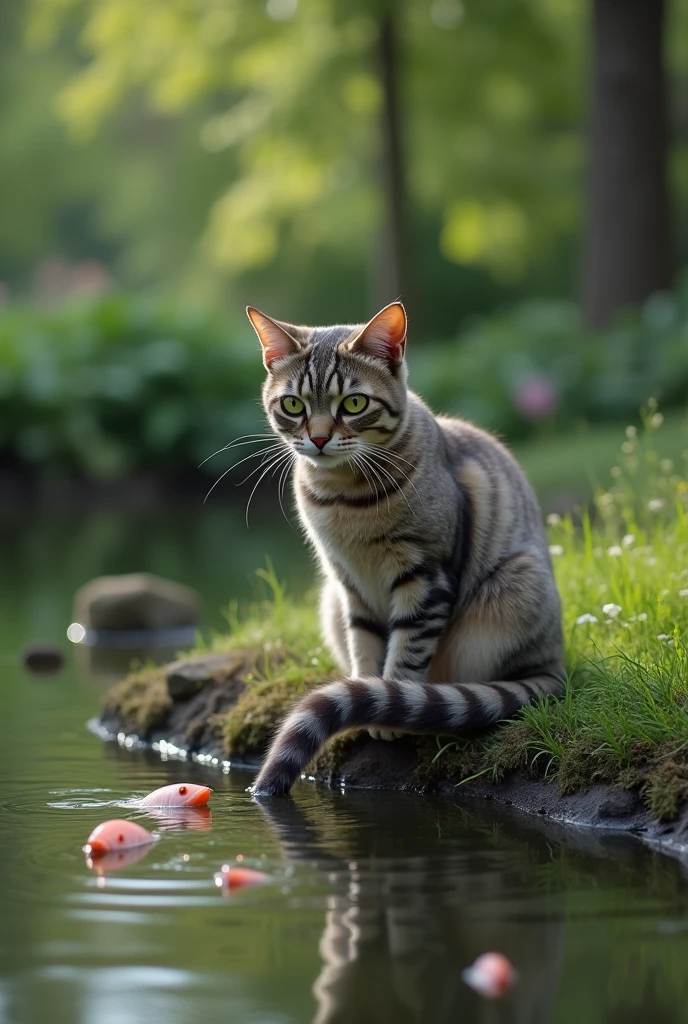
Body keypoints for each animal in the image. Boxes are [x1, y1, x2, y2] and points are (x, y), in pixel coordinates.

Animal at [247, 299, 565, 794]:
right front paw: (367, 691)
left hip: (514, 589)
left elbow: (407, 647)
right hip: (329, 601)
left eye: (354, 403)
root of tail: (556, 662)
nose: (317, 439)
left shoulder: (424, 572)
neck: (344, 496)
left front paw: (389, 709)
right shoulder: (348, 582)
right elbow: (365, 646)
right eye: (293, 405)